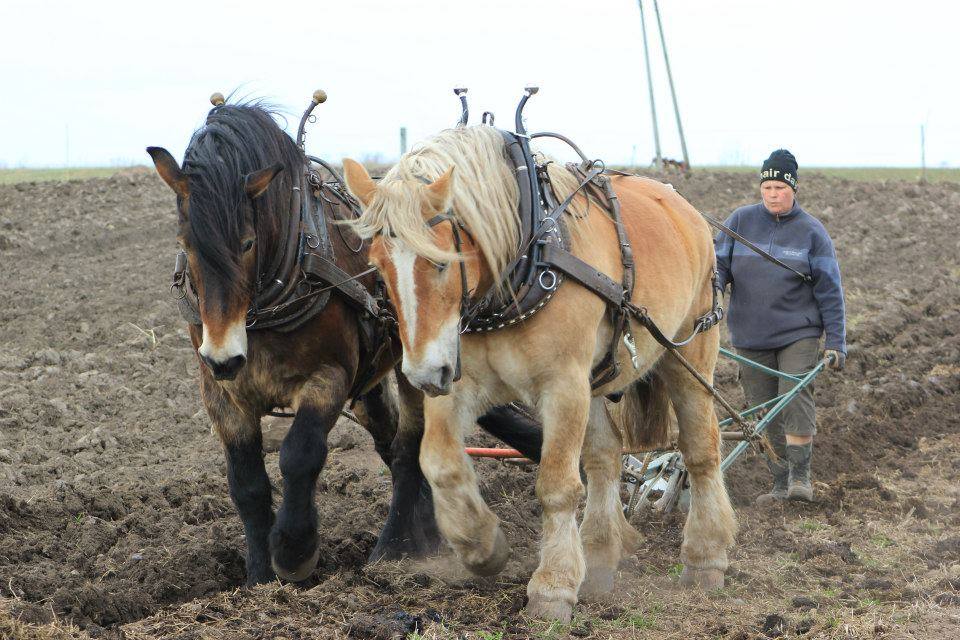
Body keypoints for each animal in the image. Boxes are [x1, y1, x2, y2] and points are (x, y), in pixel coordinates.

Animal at [148, 100, 540, 584]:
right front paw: (259, 574)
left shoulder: (328, 376)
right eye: (185, 244)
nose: (223, 357)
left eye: (247, 242)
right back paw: (423, 528)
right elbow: (246, 483)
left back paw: (398, 545)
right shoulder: (220, 393)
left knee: (410, 446)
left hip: (416, 366)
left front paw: (294, 551)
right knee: (391, 441)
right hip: (371, 382)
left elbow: (300, 454)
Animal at [344, 125, 736, 620]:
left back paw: (705, 558)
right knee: (605, 459)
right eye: (378, 266)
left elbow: (557, 485)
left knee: (701, 450)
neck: (524, 264)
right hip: (597, 379)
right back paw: (600, 557)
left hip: (690, 351)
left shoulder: (562, 385)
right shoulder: (460, 381)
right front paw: (482, 545)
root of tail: (681, 204)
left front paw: (552, 587)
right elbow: (440, 463)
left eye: (440, 261)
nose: (421, 374)